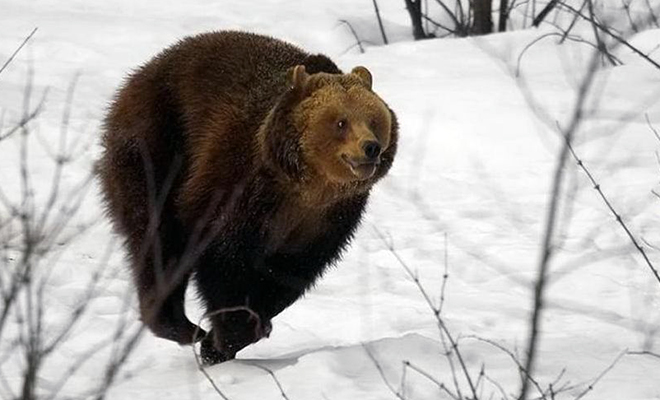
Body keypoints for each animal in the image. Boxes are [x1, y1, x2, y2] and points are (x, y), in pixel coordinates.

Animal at [96, 29, 398, 364]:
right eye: (341, 122)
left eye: (374, 120)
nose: (370, 148)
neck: (305, 186)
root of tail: (139, 73)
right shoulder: (240, 185)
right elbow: (224, 257)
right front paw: (224, 336)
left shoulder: (327, 221)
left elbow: (288, 273)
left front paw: (239, 332)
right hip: (158, 143)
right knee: (158, 237)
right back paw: (181, 325)